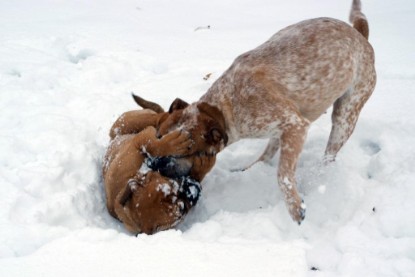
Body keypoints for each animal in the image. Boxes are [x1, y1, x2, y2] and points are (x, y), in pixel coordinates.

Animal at [103, 99, 214, 233]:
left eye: (172, 184)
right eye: (182, 210)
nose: (192, 189)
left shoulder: (139, 140)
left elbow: (152, 145)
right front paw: (203, 163)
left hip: (131, 121)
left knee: (159, 118)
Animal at [145, 0, 376, 223]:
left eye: (184, 149)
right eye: (159, 137)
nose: (153, 161)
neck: (223, 107)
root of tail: (359, 34)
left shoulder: (296, 124)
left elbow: (283, 174)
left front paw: (294, 206)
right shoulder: (286, 125)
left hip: (345, 115)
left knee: (328, 156)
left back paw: (320, 176)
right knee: (269, 152)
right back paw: (251, 168)